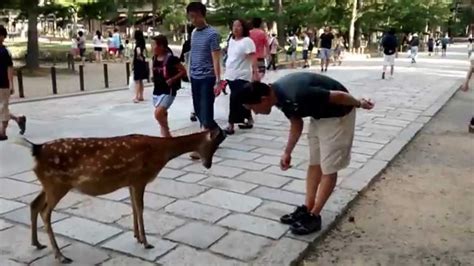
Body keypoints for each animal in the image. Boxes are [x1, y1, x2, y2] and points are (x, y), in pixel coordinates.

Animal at [12, 129, 224, 264]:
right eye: (214, 144)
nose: (208, 165)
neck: (161, 152)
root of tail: (36, 149)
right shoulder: (140, 178)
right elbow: (140, 207)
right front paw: (147, 242)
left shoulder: (130, 181)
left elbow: (133, 207)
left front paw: (137, 236)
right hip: (57, 184)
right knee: (45, 212)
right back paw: (61, 256)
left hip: (49, 185)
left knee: (34, 204)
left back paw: (37, 244)